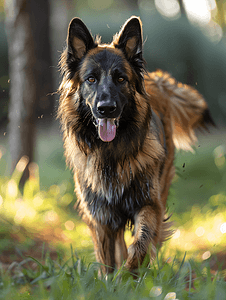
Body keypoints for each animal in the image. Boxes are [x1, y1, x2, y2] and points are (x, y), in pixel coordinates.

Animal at [57, 16, 215, 274]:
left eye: (121, 78)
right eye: (91, 79)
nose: (106, 109)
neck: (110, 154)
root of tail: (157, 80)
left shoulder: (149, 204)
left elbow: (142, 242)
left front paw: (131, 273)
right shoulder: (101, 216)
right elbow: (108, 260)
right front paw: (112, 279)